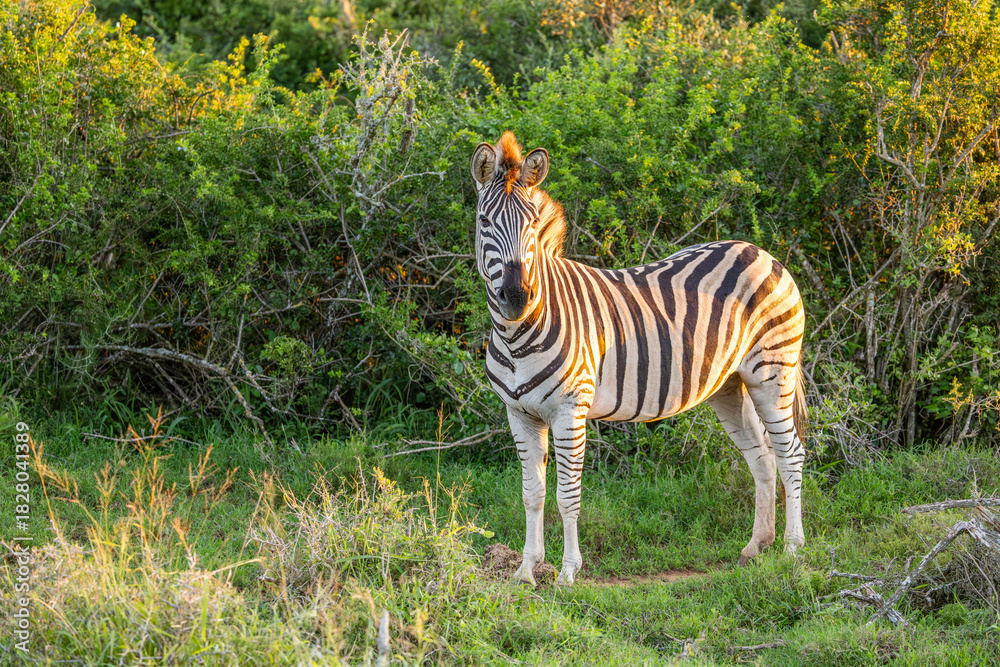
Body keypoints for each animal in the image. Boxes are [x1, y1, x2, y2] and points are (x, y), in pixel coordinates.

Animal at [471, 132, 808, 586]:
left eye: (533, 226)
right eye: (485, 223)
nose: (516, 297)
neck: (517, 336)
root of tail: (761, 252)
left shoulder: (570, 410)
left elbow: (567, 495)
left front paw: (567, 572)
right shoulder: (519, 414)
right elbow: (532, 493)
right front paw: (526, 570)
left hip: (772, 374)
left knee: (791, 454)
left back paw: (792, 549)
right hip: (730, 385)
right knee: (762, 457)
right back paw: (756, 545)